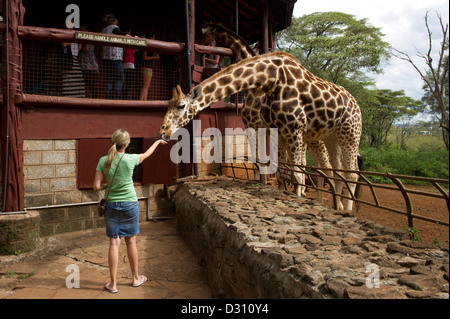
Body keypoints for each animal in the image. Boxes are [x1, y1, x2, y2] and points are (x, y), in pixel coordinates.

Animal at [158, 52, 362, 211]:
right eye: (168, 104)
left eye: (181, 106)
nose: (163, 131)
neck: (271, 79)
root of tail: (357, 105)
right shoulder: (279, 131)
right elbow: (280, 172)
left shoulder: (294, 129)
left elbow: (297, 174)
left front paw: (299, 198)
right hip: (332, 137)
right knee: (336, 172)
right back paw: (338, 207)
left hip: (350, 134)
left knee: (351, 174)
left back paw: (347, 211)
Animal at [202, 23, 332, 202]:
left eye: (205, 36)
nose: (205, 53)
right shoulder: (261, 128)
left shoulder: (255, 124)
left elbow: (260, 159)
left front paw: (263, 183)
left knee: (325, 166)